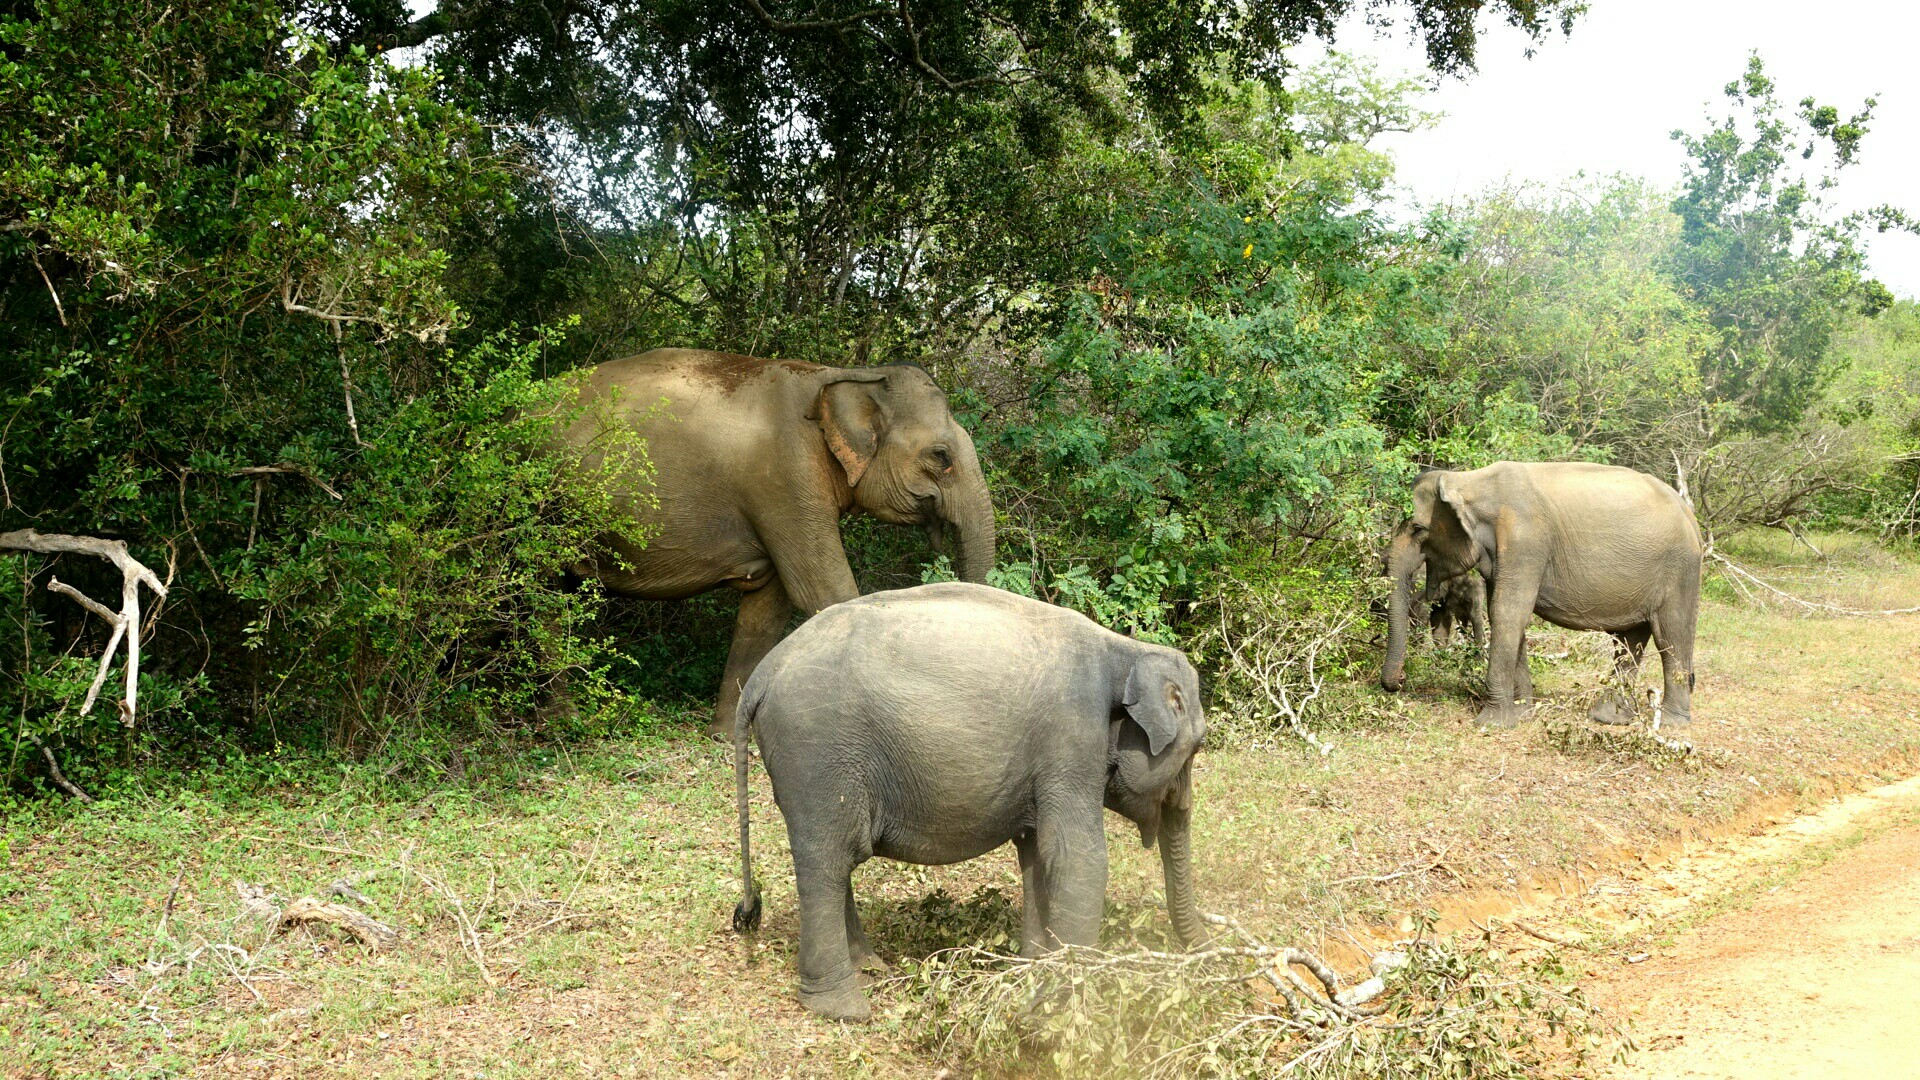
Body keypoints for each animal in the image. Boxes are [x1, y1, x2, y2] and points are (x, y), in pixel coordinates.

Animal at [556, 349, 998, 734]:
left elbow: (766, 612)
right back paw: (568, 723)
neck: (845, 375)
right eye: (941, 456)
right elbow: (824, 591)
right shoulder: (786, 478)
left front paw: (726, 736)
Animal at [725, 580, 1205, 1014]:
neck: (1124, 648)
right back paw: (845, 1008)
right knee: (827, 860)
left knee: (837, 858)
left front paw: (1032, 972)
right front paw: (1062, 1004)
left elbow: (1036, 852)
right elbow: (1077, 857)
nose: (1209, 951)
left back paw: (871, 970)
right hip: (816, 753)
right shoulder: (1072, 738)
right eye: (1197, 747)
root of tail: (762, 675)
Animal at [1382, 457, 1712, 726]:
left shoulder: (1525, 541)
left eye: (1417, 529)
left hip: (1679, 571)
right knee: (1630, 641)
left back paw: (1671, 724)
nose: (1400, 680)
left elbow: (1508, 612)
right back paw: (1609, 717)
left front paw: (1492, 722)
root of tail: (1691, 516)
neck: (1469, 479)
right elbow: (1503, 613)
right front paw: (1522, 713)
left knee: (1671, 637)